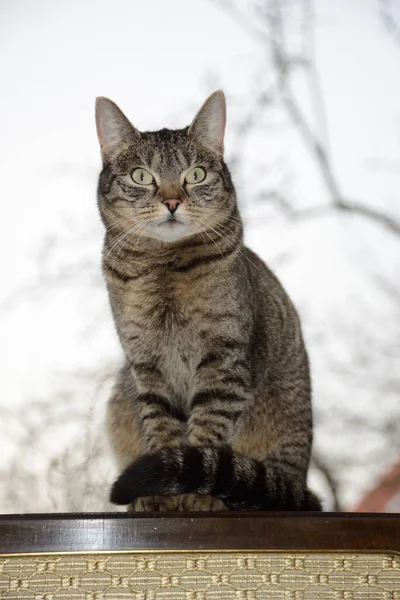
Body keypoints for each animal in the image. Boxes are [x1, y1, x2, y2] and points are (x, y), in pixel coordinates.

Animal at [94, 90, 322, 510]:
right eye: (142, 176)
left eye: (195, 175)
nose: (171, 202)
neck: (164, 266)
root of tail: (298, 483)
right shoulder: (145, 364)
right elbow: (161, 427)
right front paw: (158, 495)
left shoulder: (224, 359)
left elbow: (207, 430)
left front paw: (195, 495)